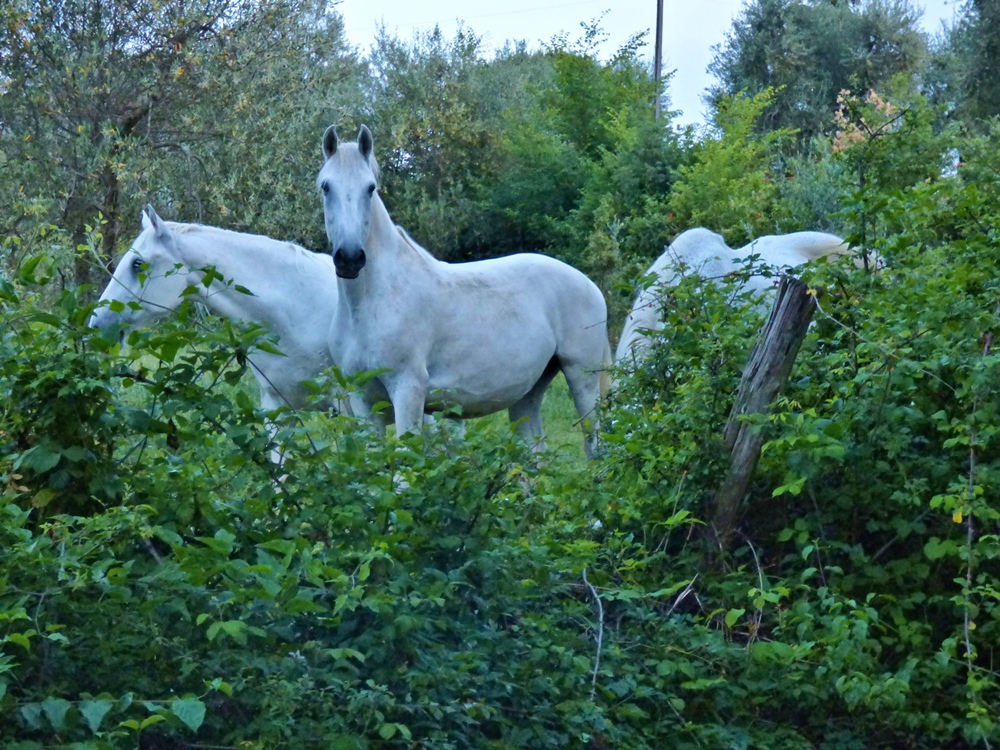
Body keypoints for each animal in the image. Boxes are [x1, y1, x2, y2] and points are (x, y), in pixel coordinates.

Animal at [316, 125, 612, 458]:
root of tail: (589, 285)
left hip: (582, 379)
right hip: (528, 391)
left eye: (370, 188)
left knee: (594, 446)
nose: (350, 258)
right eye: (326, 187)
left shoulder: (407, 390)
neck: (371, 304)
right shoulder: (362, 399)